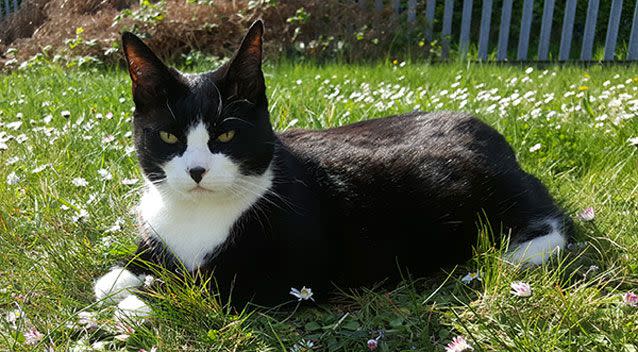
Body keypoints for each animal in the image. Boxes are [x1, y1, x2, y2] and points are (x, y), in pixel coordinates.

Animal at [94, 20, 576, 308]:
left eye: (226, 135)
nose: (196, 172)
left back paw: (522, 250)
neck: (198, 215)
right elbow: (141, 265)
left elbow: (205, 286)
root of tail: (482, 125)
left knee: (546, 218)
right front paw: (121, 278)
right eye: (169, 137)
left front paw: (138, 305)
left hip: (496, 192)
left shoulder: (293, 275)